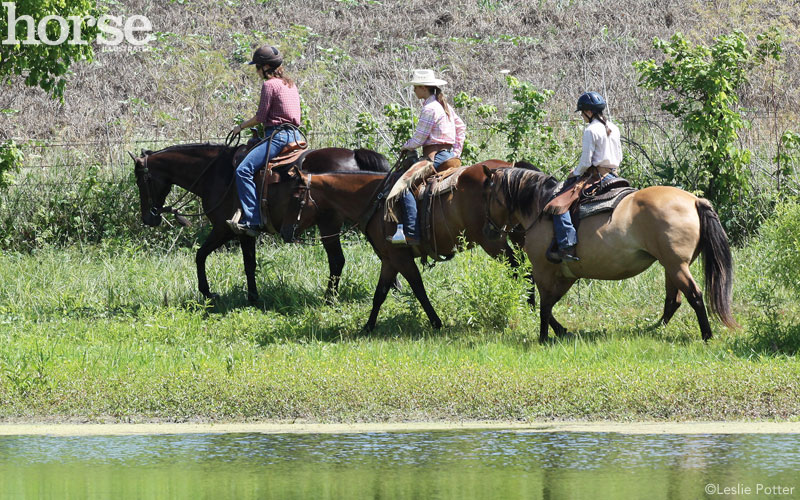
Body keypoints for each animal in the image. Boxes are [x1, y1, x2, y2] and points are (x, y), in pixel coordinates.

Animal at [131, 143, 390, 302]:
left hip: (329, 224)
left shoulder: (227, 229)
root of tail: (354, 155)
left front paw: (213, 293)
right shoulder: (239, 232)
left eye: (142, 181)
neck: (214, 174)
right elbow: (242, 262)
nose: (148, 218)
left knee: (337, 260)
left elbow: (205, 256)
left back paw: (329, 298)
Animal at [282, 161, 524, 332]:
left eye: (295, 197)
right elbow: (379, 294)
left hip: (493, 241)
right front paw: (368, 327)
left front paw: (436, 322)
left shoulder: (401, 258)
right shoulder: (389, 260)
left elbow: (418, 289)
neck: (376, 200)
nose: (285, 233)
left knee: (517, 269)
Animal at [482, 166, 736, 342]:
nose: (488, 230)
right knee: (674, 300)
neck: (541, 207)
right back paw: (652, 329)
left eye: (488, 195)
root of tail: (695, 200)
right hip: (672, 266)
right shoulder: (566, 274)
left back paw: (706, 336)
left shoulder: (543, 270)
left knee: (694, 296)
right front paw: (561, 331)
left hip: (676, 266)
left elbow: (543, 305)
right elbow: (549, 304)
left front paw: (544, 337)